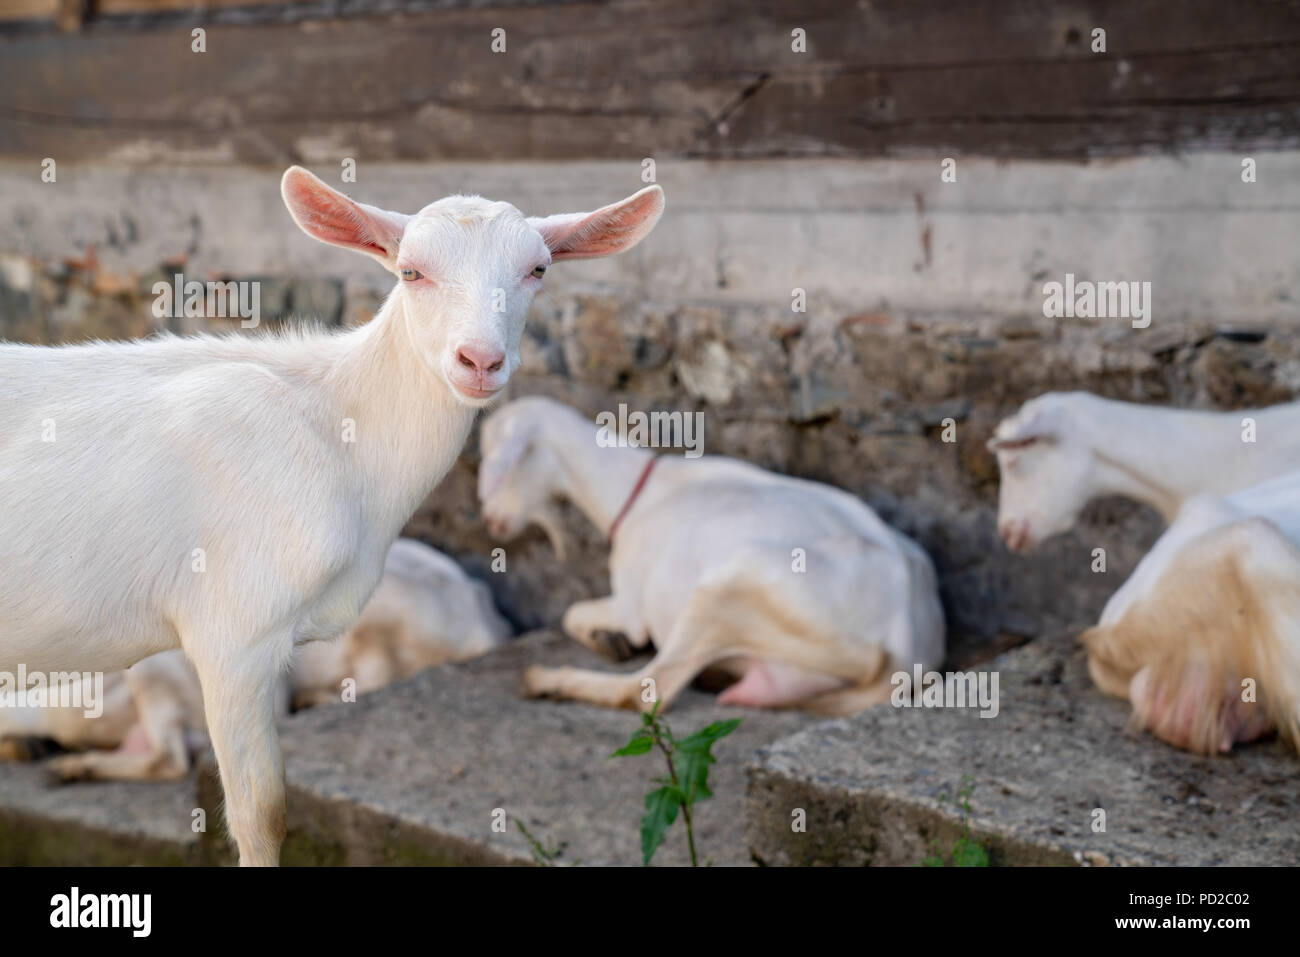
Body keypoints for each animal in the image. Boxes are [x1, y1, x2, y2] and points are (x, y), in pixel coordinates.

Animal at [478, 392, 946, 712]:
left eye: (495, 462)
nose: (489, 520)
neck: (636, 493)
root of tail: (907, 637)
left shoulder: (631, 603)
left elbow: (574, 614)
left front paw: (611, 641)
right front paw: (607, 641)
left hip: (732, 585)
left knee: (648, 689)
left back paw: (545, 680)